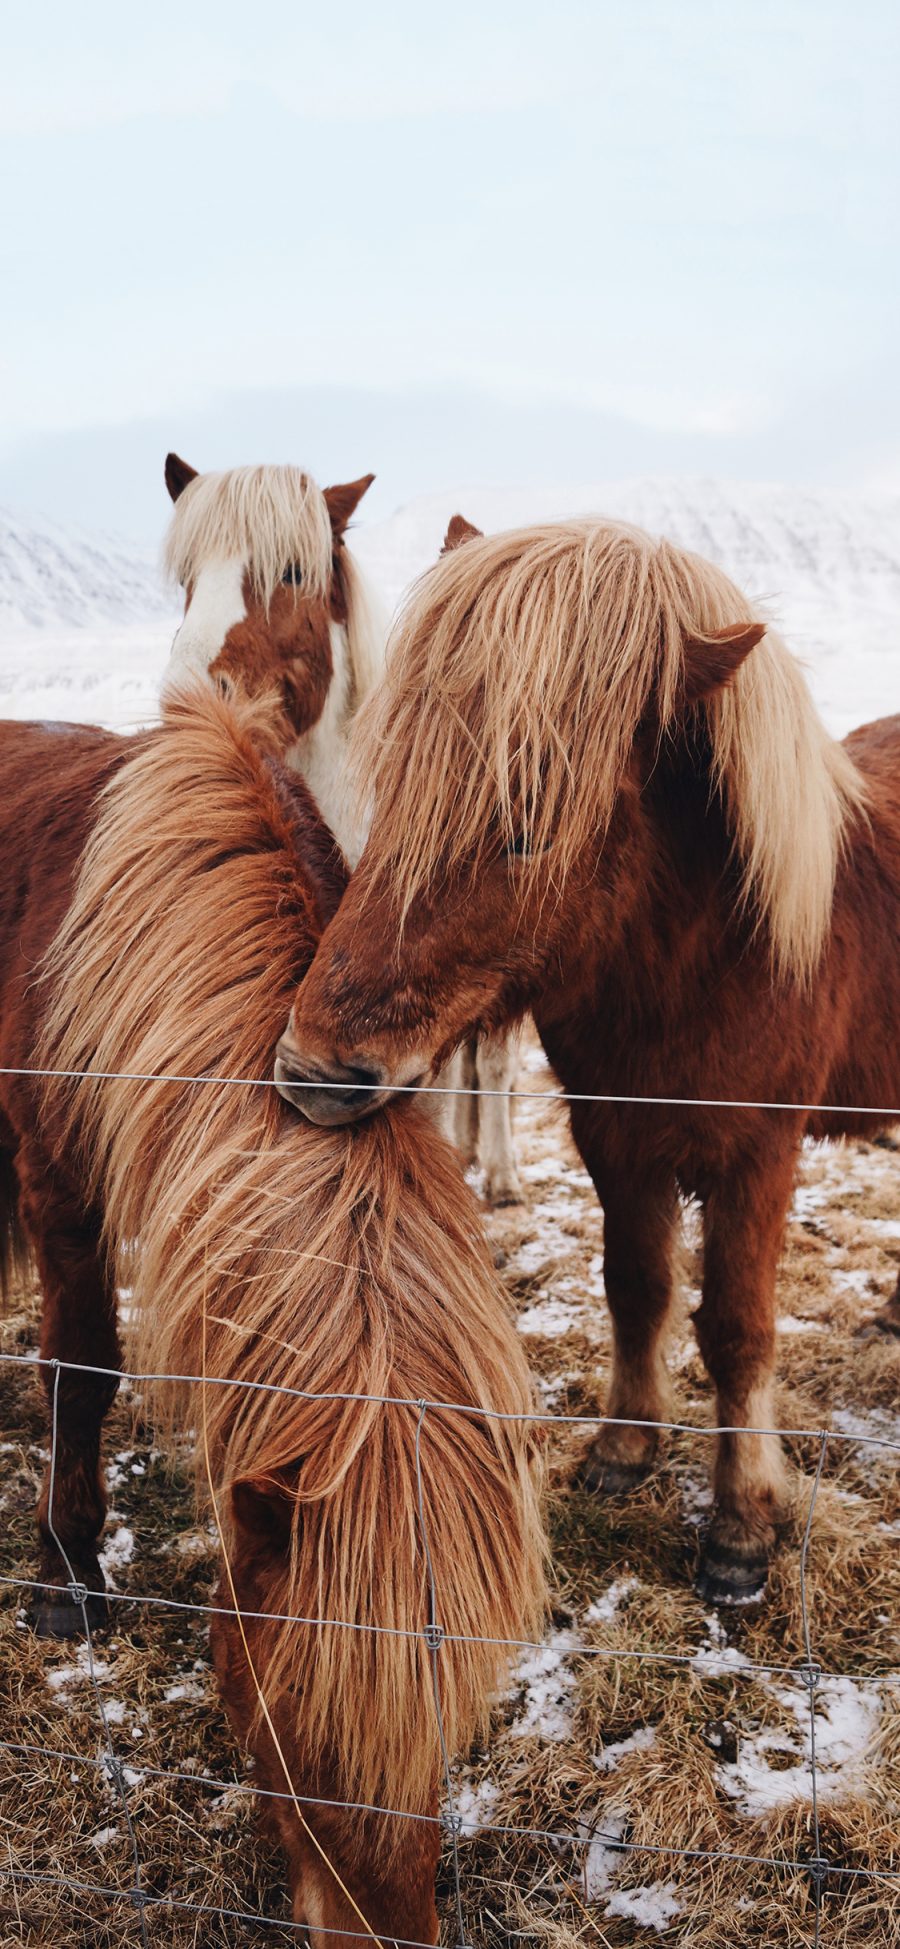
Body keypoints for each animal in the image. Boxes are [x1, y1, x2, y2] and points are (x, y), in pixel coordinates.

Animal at [0, 678, 541, 1941]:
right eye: (300, 1711)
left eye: (449, 1722)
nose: (387, 1938)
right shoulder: (57, 1185)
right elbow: (81, 1370)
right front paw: (66, 1583)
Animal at [276, 510, 900, 1605]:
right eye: (397, 787)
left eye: (529, 827)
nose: (315, 1071)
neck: (702, 957)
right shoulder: (613, 1133)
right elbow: (635, 1283)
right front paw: (624, 1446)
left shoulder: (759, 1158)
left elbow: (737, 1329)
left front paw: (742, 1525)